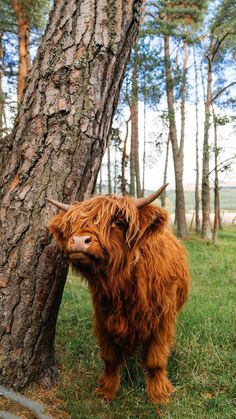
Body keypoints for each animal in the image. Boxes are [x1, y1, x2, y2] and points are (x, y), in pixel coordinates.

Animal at [48, 186, 190, 404]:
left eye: (118, 222)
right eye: (73, 223)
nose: (79, 241)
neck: (123, 284)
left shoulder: (161, 320)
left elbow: (155, 360)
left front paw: (159, 395)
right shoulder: (104, 317)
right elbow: (110, 358)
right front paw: (106, 391)